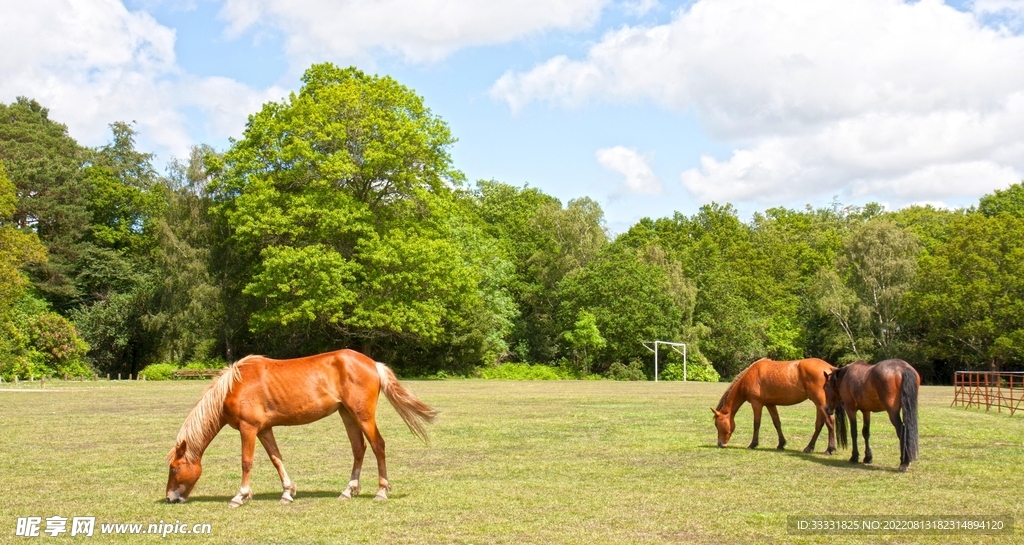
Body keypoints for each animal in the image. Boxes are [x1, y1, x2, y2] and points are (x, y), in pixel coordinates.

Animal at [165, 349, 437, 506]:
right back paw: (348, 490)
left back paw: (381, 491)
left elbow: (246, 462)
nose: (170, 497)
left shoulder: (248, 428)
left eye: (175, 468)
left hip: (363, 415)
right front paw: (287, 493)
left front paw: (240, 496)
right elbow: (276, 459)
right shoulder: (264, 430)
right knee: (359, 449)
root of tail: (373, 364)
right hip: (347, 415)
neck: (235, 386)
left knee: (378, 445)